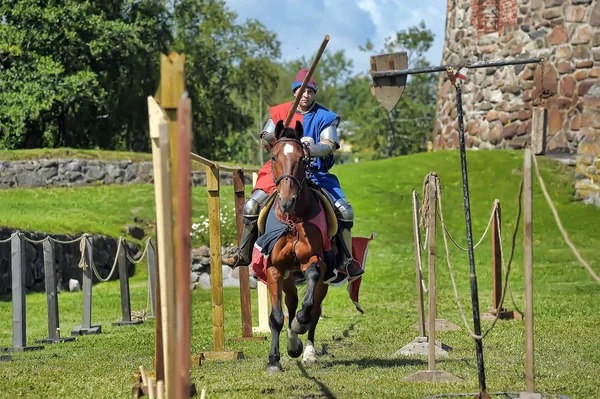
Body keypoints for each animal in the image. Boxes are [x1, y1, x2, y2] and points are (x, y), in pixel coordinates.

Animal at [264, 120, 332, 374]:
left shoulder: (314, 261)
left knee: (314, 310)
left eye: (303, 159)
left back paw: (307, 350)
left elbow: (308, 307)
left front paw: (299, 327)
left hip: (323, 280)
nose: (287, 201)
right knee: (290, 303)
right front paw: (274, 360)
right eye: (274, 157)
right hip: (287, 278)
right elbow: (276, 317)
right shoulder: (274, 270)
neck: (292, 221)